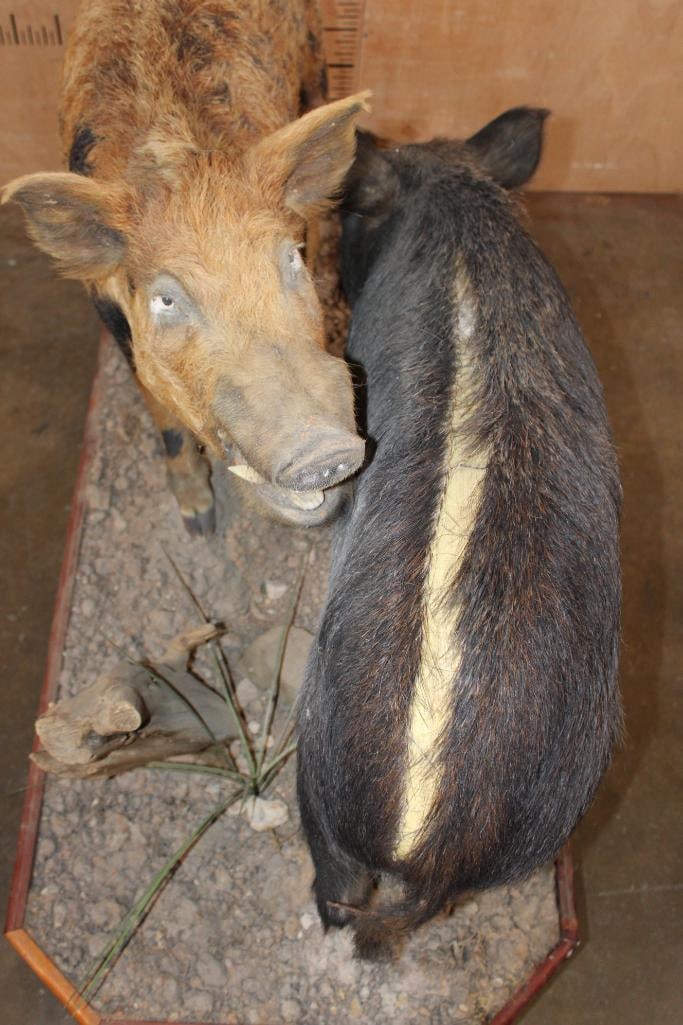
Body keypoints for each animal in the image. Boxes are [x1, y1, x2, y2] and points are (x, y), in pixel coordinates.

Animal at [2, 0, 368, 533]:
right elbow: (159, 408)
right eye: (167, 299)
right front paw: (199, 522)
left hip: (316, 57)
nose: (324, 448)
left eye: (290, 259)